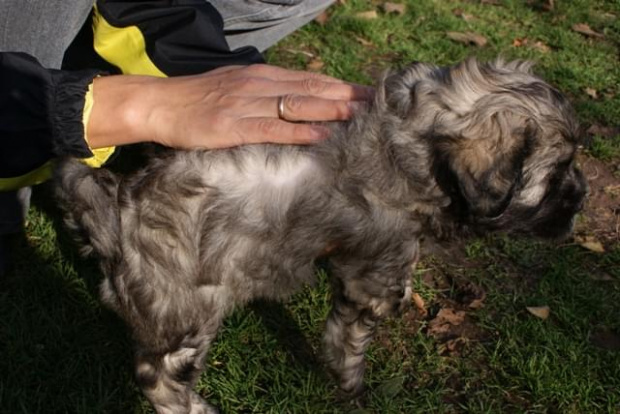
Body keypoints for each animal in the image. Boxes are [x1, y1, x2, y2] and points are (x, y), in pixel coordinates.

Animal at [54, 59, 588, 414]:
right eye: (558, 173)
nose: (582, 198)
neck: (416, 134)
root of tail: (118, 217)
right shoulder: (376, 274)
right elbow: (351, 336)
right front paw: (351, 383)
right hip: (185, 316)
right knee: (158, 376)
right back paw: (194, 406)